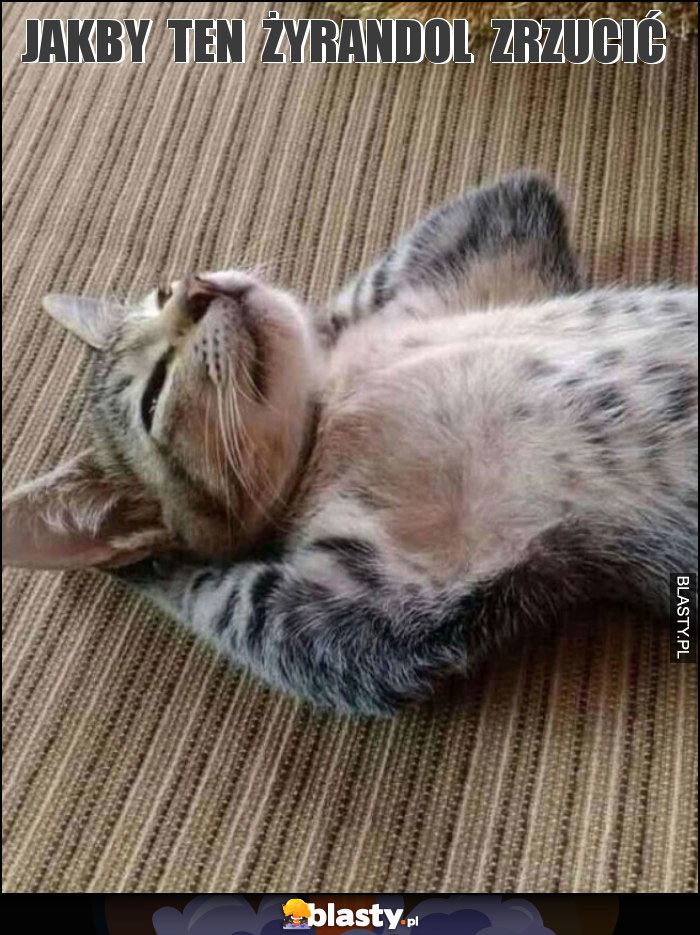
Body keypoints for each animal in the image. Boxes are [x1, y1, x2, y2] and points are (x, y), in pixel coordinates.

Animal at [3, 174, 697, 715]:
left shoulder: (499, 223)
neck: (333, 411)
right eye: (152, 398)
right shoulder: (376, 617)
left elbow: (364, 291)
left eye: (164, 291)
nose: (199, 287)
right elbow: (229, 601)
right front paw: (148, 564)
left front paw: (322, 327)